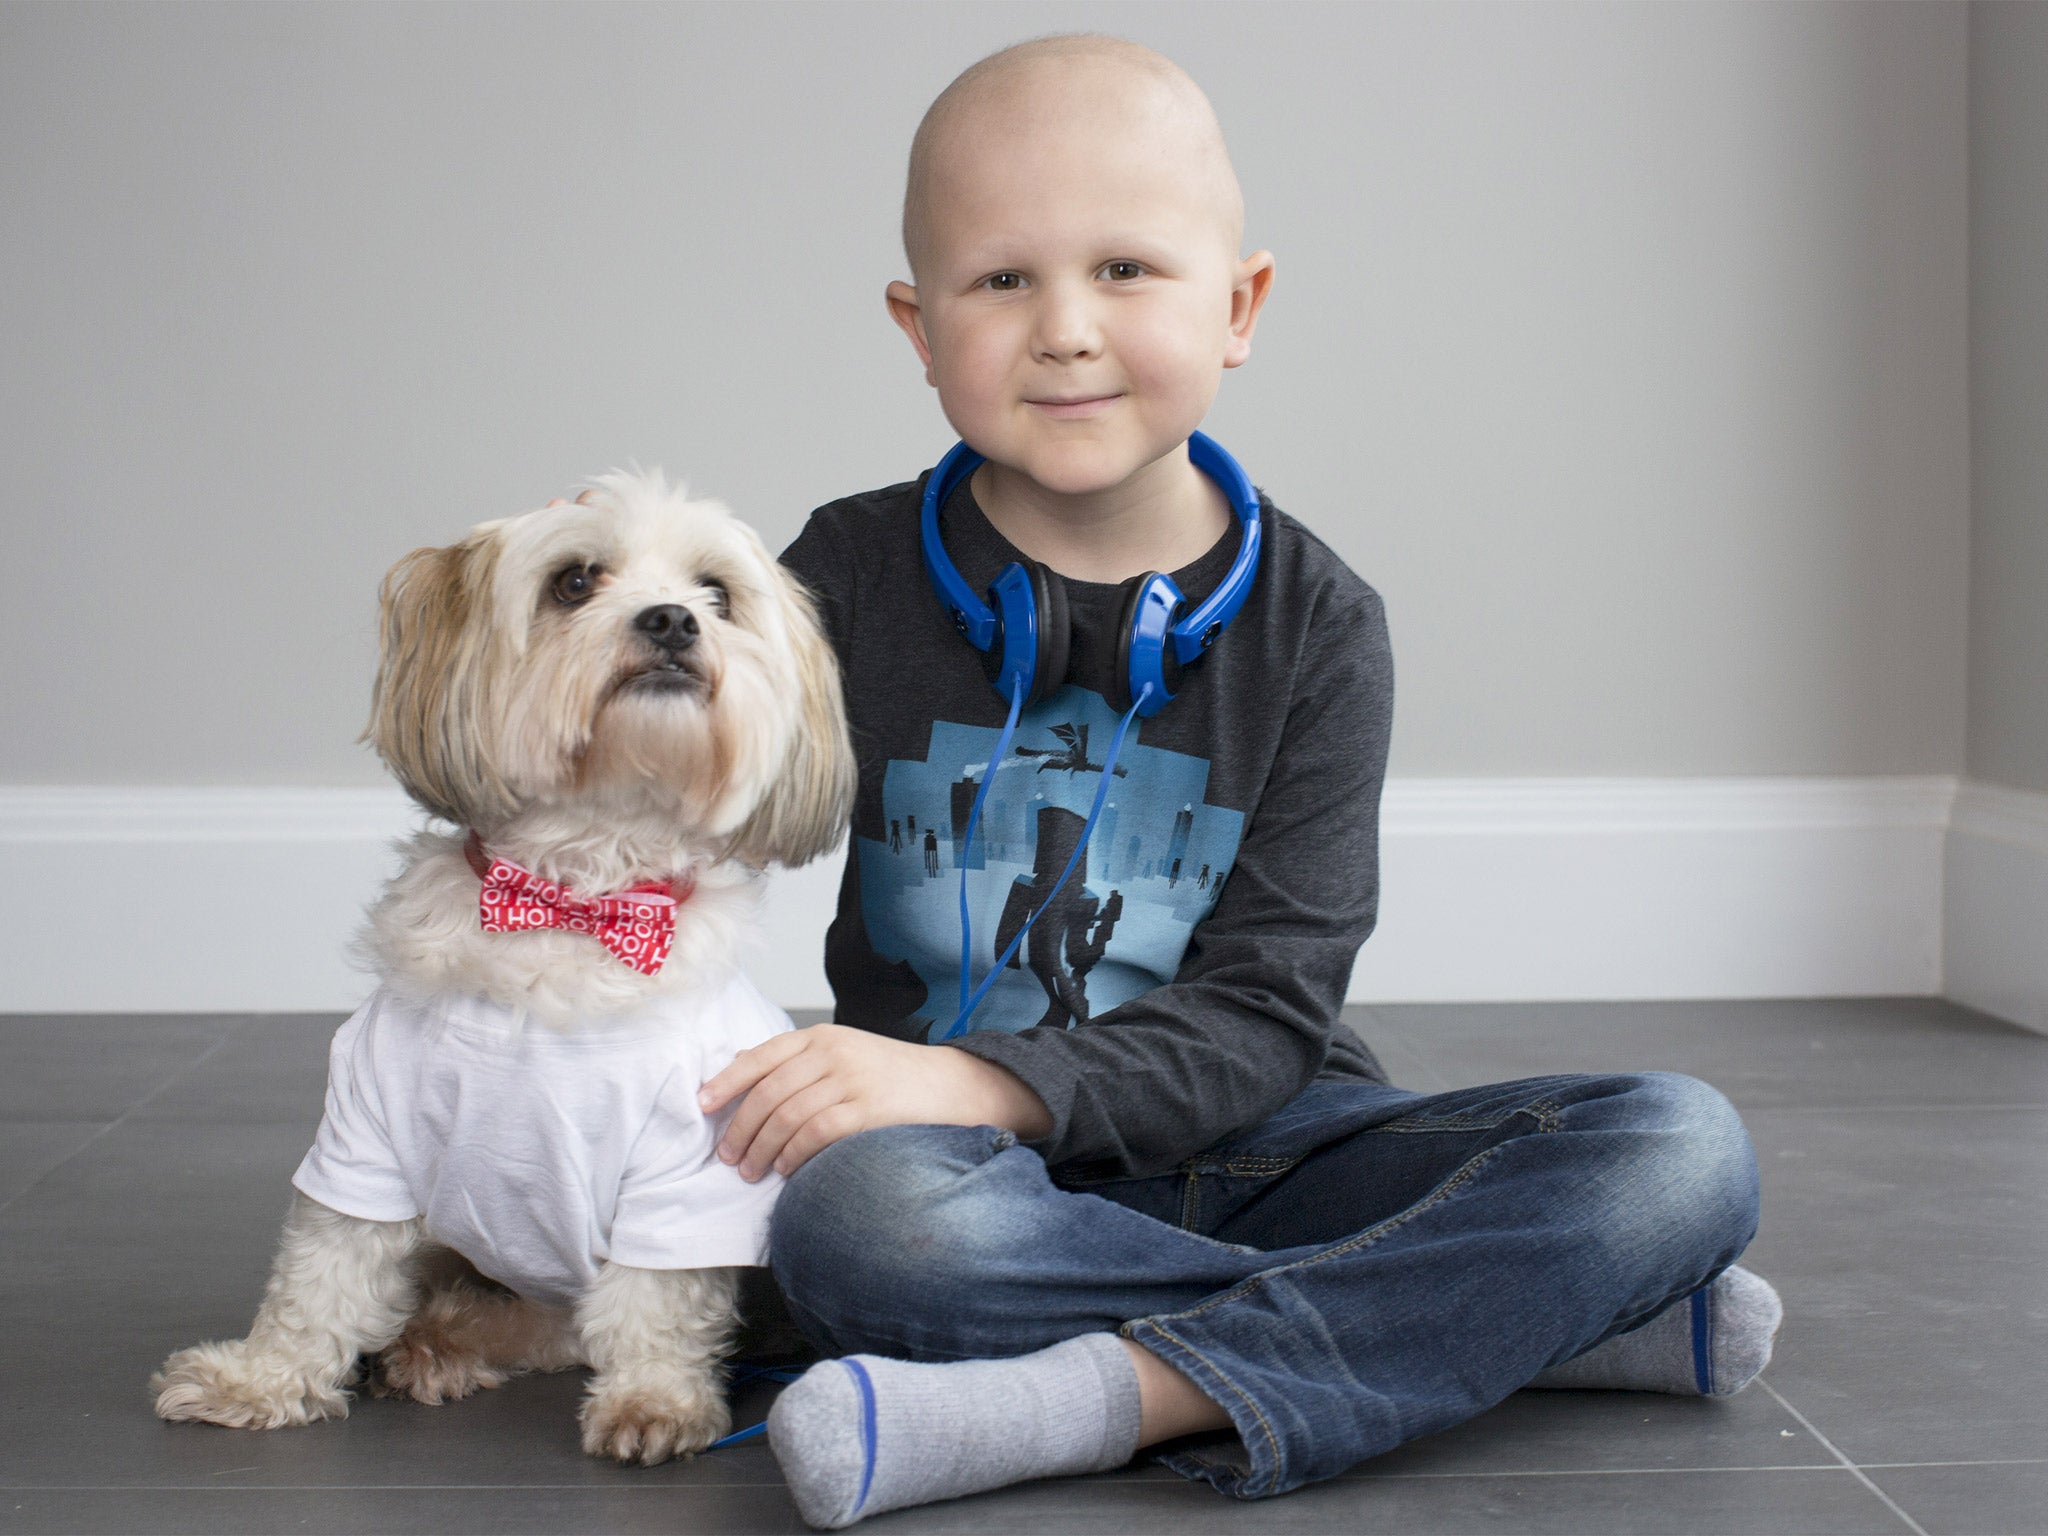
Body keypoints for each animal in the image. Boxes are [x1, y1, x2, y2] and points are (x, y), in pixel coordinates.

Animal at [146, 479, 847, 1466]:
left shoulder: (688, 1165)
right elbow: (320, 1274)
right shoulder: (363, 1131)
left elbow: (657, 1302)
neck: (569, 904)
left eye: (717, 593)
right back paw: (432, 1342)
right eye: (575, 581)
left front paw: (654, 1402)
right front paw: (260, 1380)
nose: (673, 620)